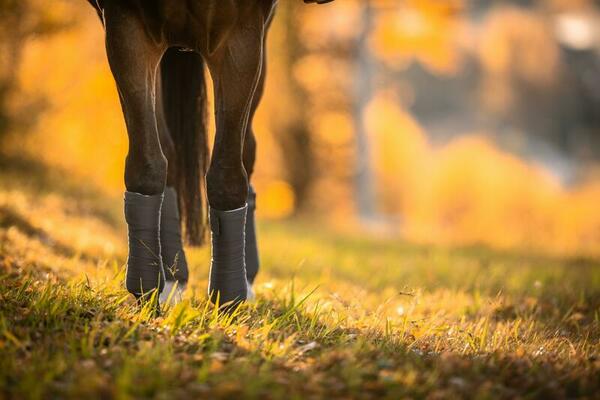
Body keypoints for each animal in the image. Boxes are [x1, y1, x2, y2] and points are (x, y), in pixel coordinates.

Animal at [87, 0, 336, 306]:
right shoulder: (125, 27)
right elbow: (147, 163)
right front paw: (148, 287)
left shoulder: (241, 37)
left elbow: (227, 175)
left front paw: (228, 296)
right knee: (170, 153)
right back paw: (173, 277)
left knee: (246, 151)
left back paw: (246, 278)